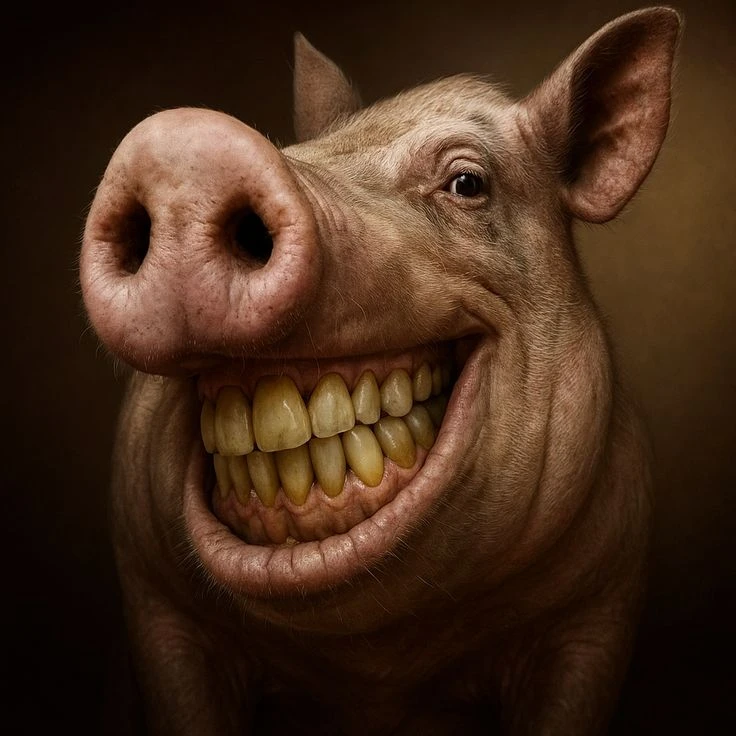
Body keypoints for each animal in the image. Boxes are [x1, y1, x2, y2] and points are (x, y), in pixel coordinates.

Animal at [81, 7, 681, 735]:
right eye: (296, 148)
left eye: (467, 183)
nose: (183, 147)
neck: (377, 661)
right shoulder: (156, 599)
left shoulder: (598, 606)